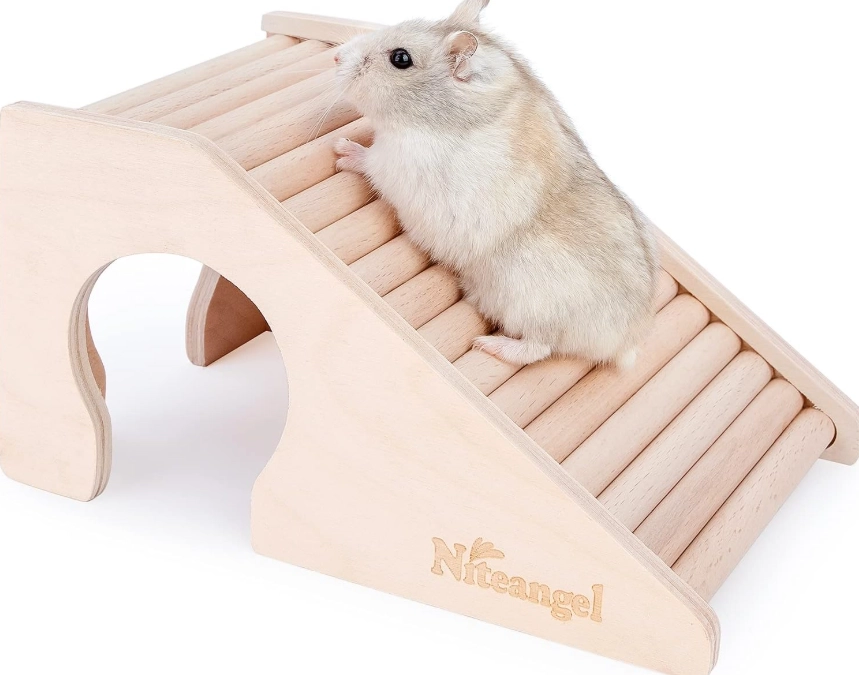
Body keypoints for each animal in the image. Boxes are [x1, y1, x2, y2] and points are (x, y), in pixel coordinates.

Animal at [333, 0, 659, 368]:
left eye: (400, 58)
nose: (336, 57)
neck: (443, 115)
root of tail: (625, 342)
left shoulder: (397, 162)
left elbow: (369, 162)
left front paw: (341, 149)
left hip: (536, 308)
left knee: (538, 348)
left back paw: (487, 345)